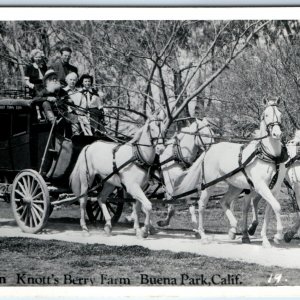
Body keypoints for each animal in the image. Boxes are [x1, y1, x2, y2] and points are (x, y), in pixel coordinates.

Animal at [173, 97, 286, 247]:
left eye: (280, 114)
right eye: (265, 115)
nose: (277, 134)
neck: (270, 155)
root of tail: (209, 150)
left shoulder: (274, 189)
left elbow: (271, 210)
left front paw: (267, 239)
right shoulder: (261, 186)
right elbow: (277, 207)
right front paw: (278, 235)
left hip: (235, 186)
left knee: (223, 201)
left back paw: (233, 227)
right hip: (209, 185)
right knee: (202, 204)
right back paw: (203, 234)